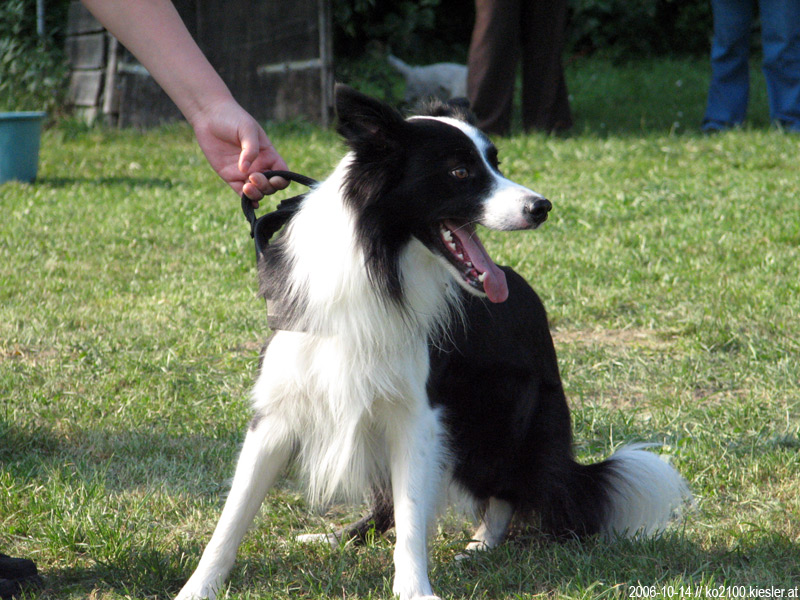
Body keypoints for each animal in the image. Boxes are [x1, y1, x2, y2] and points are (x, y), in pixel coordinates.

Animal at [178, 85, 692, 600]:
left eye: (496, 162)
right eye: (460, 171)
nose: (541, 207)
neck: (380, 267)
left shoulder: (417, 414)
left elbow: (411, 514)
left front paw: (414, 589)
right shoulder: (280, 408)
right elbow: (234, 514)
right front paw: (198, 586)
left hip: (495, 418)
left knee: (505, 490)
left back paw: (482, 542)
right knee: (387, 504)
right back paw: (336, 537)